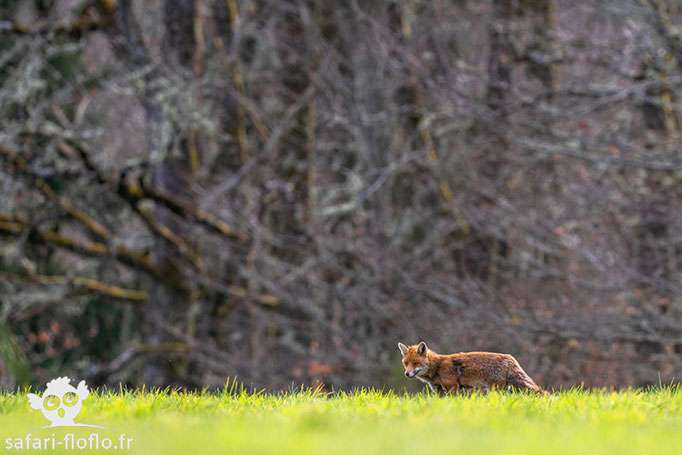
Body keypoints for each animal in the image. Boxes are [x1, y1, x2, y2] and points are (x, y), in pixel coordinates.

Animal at [396, 342, 544, 396]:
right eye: (406, 363)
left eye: (416, 363)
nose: (407, 373)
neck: (437, 367)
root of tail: (509, 357)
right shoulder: (439, 390)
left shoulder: (452, 387)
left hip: (495, 389)